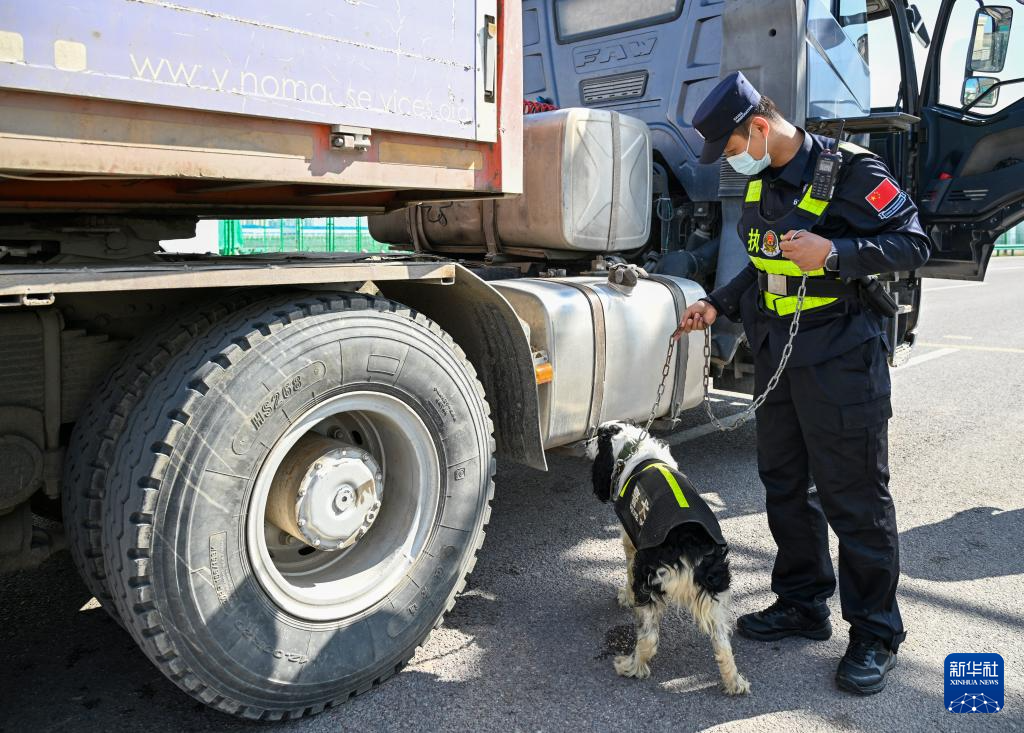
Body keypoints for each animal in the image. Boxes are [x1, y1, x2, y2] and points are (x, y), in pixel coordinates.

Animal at [589, 421, 749, 696]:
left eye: (597, 437)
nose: (584, 442)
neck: (633, 450)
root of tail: (688, 544)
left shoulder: (632, 542)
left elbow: (627, 571)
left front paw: (625, 597)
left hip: (648, 579)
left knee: (649, 638)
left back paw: (632, 667)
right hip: (717, 591)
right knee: (723, 643)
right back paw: (734, 682)